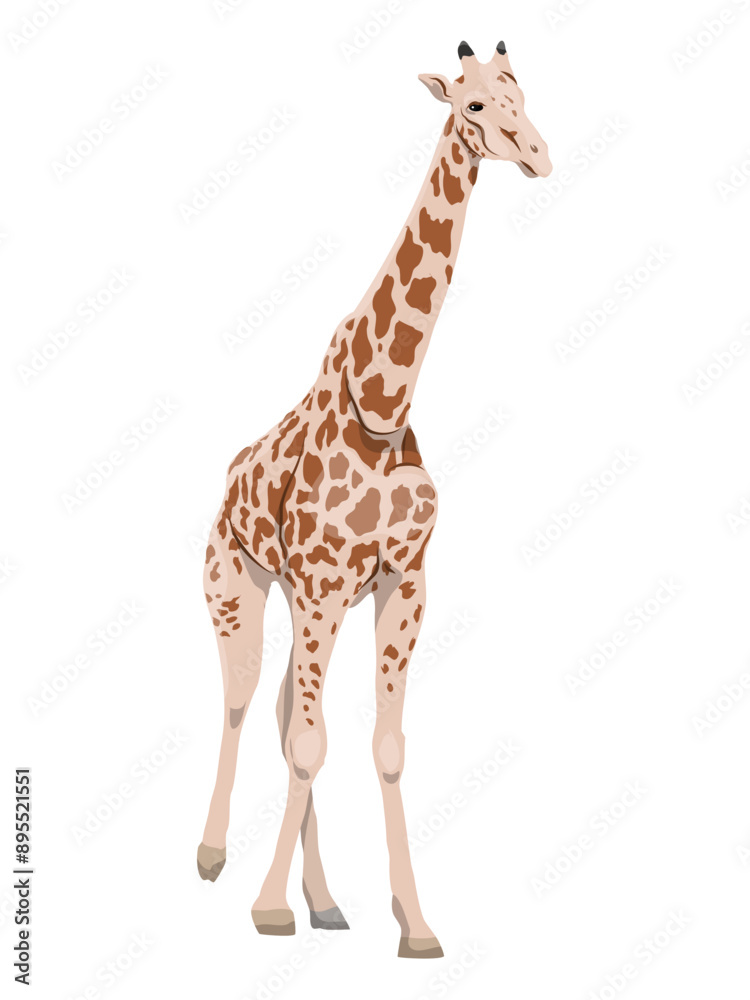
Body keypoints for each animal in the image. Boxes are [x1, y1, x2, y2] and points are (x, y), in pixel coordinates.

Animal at [197, 41, 551, 958]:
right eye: (470, 106)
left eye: (522, 93)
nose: (537, 153)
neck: (385, 407)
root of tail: (228, 478)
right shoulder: (323, 582)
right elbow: (307, 743)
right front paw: (268, 908)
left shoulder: (402, 582)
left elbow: (380, 745)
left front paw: (413, 924)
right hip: (238, 586)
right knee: (244, 701)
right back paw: (214, 859)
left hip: (302, 599)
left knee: (283, 708)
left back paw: (324, 900)